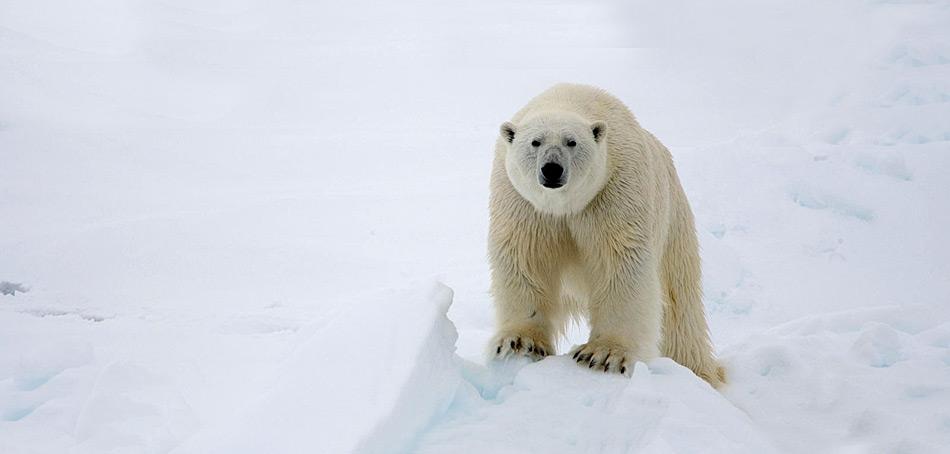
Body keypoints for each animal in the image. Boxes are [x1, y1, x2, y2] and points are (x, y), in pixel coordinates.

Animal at [488, 82, 724, 386]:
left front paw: (603, 355)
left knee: (679, 302)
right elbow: (526, 258)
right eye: (535, 142)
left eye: (571, 142)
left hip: (673, 217)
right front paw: (520, 342)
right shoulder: (523, 203)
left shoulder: (614, 190)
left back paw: (698, 370)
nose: (552, 169)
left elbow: (621, 263)